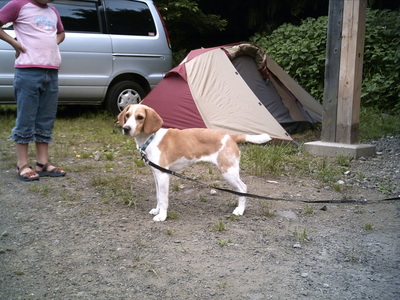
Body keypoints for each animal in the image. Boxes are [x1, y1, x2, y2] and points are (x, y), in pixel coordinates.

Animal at [116, 104, 272, 221]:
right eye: (127, 115)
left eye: (140, 117)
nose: (126, 128)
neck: (150, 139)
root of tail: (230, 135)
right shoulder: (157, 175)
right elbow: (159, 196)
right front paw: (157, 210)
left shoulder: (163, 176)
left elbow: (164, 199)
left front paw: (162, 216)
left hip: (228, 172)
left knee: (243, 188)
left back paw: (240, 210)